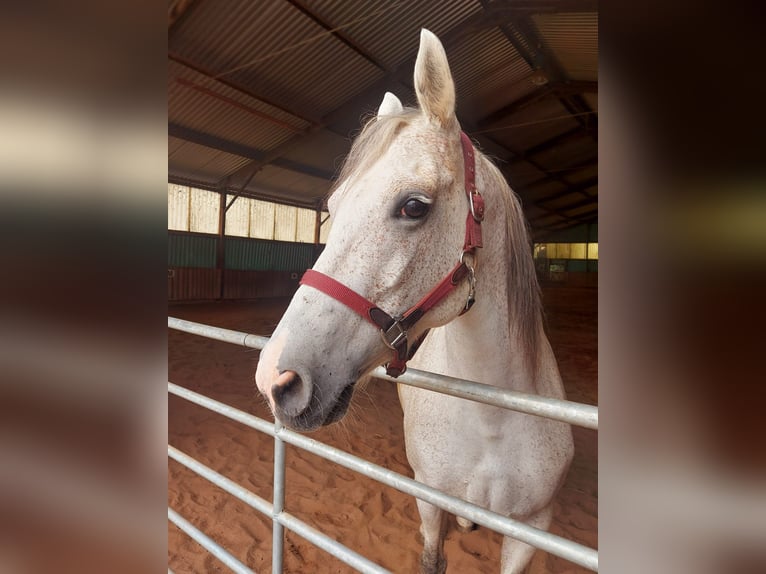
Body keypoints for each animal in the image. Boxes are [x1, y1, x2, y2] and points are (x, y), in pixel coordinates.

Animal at [258, 29, 576, 574]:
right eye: (332, 208)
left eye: (413, 206)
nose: (275, 376)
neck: (492, 420)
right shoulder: (430, 501)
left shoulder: (531, 529)